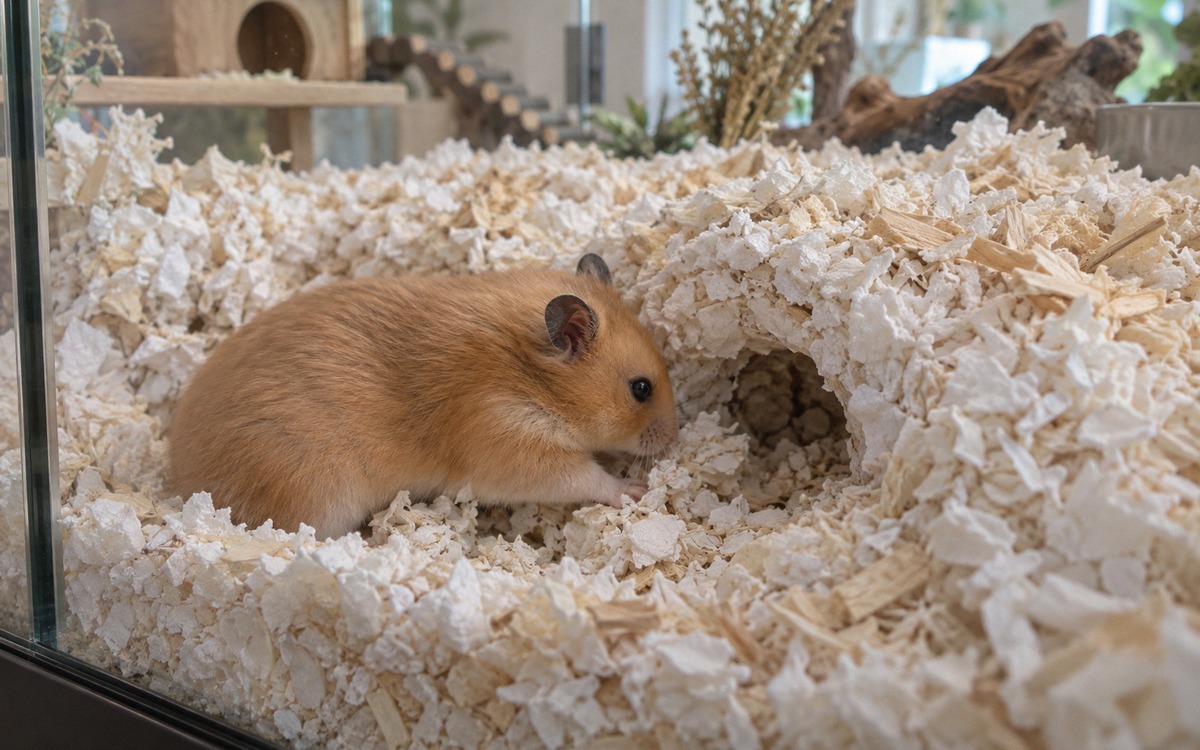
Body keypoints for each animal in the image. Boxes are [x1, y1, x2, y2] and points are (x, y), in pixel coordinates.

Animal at [168, 254, 679, 539]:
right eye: (640, 388)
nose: (673, 437)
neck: (529, 374)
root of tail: (180, 483)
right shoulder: (511, 444)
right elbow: (585, 477)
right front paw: (634, 490)